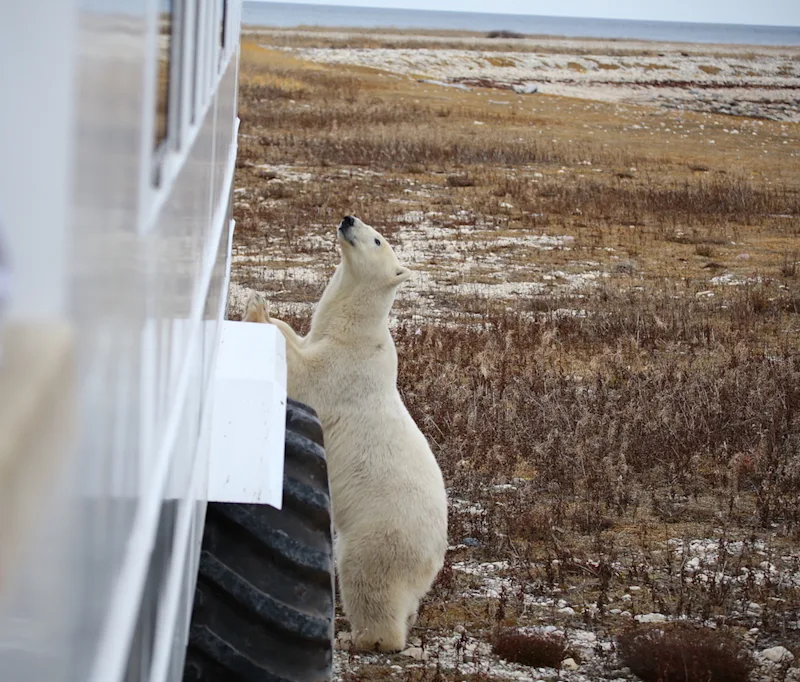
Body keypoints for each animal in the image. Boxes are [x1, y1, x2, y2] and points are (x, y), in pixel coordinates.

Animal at [245, 215, 448, 652]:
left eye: (378, 239)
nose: (348, 219)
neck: (354, 331)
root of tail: (434, 559)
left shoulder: (344, 369)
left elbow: (302, 376)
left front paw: (258, 307)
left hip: (382, 533)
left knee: (366, 580)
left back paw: (364, 638)